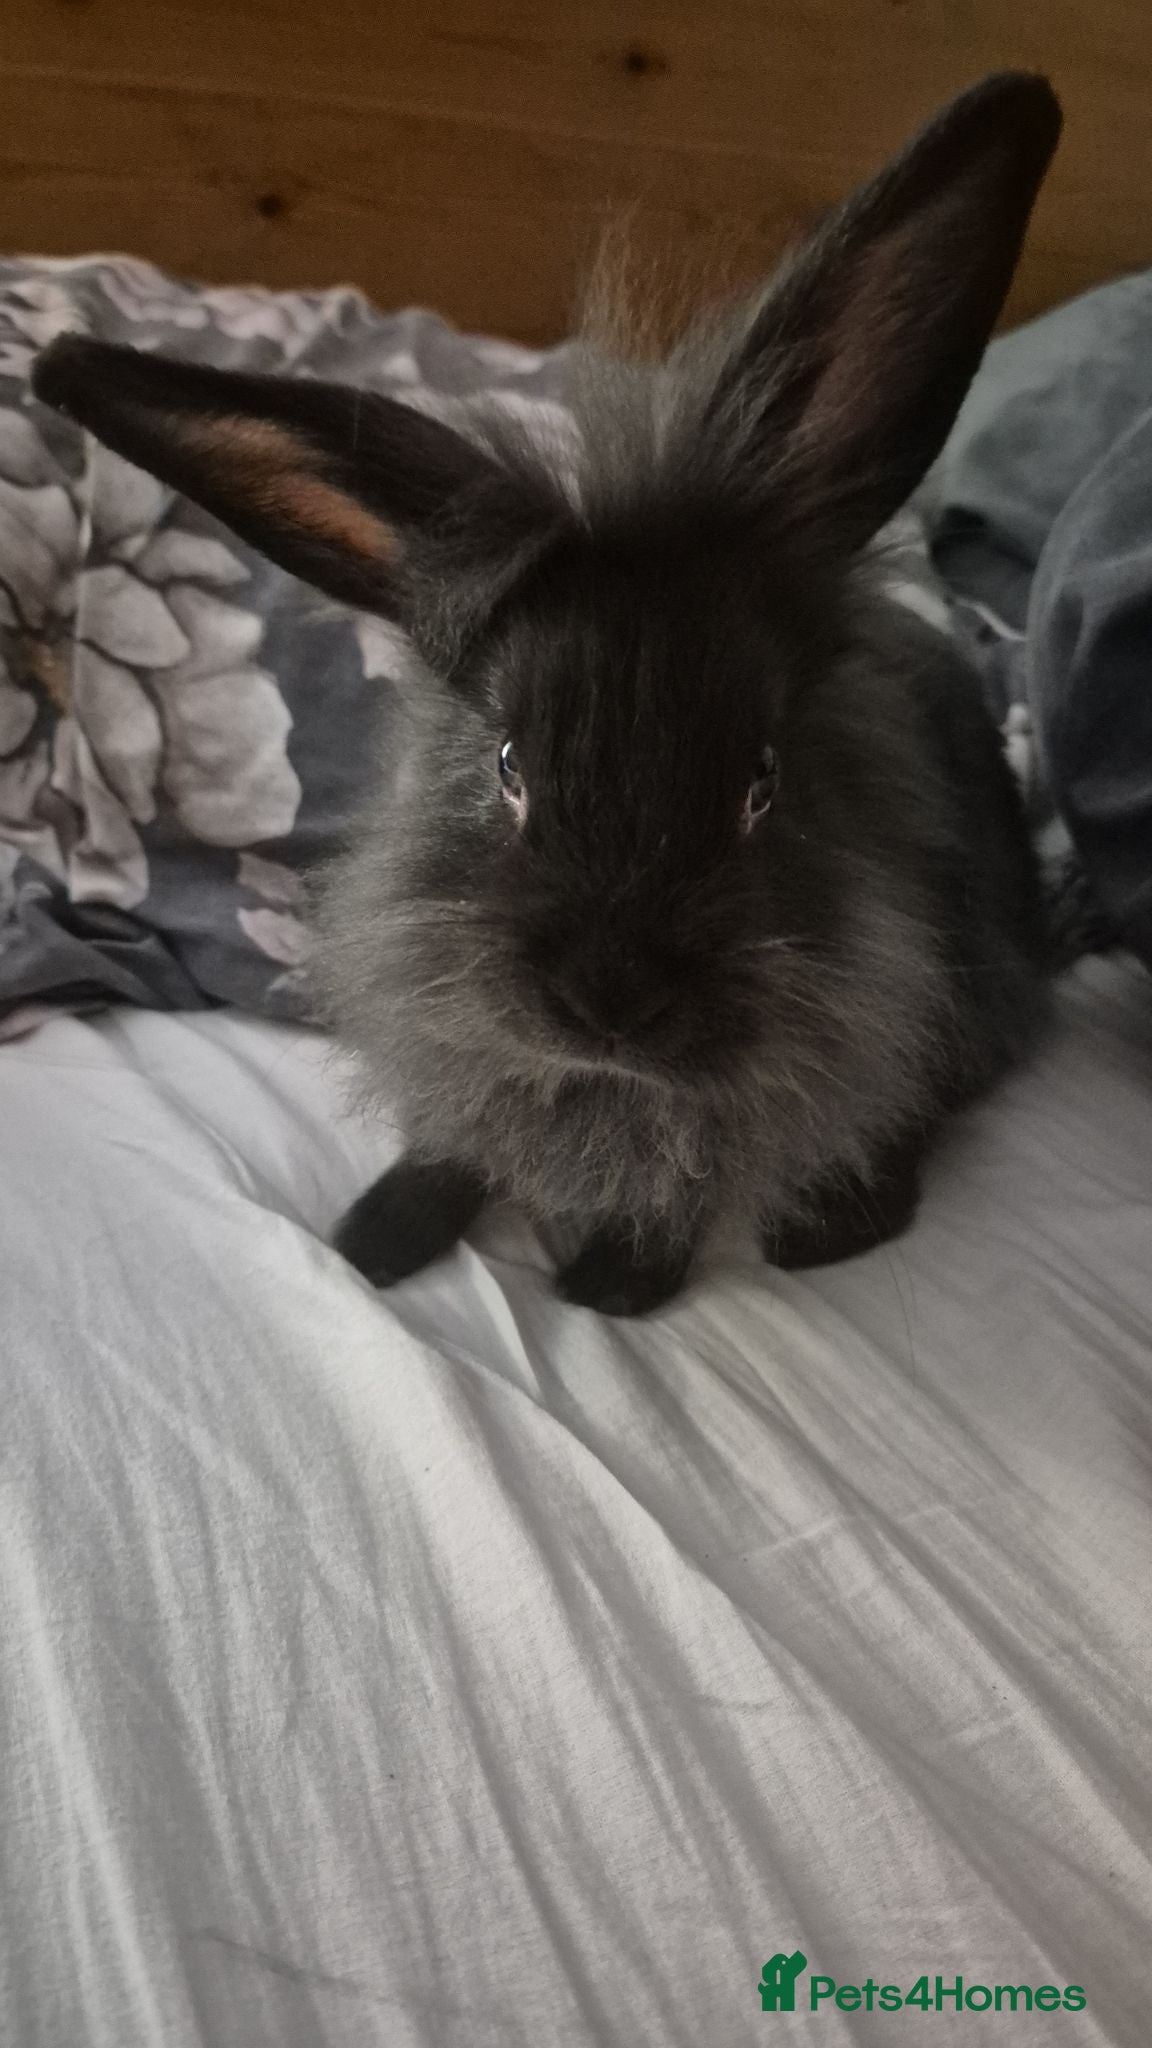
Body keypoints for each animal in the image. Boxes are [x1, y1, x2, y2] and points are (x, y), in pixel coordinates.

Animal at [34, 72, 1061, 1316]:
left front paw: (611, 1285)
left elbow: (690, 1165)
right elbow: (456, 1141)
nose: (609, 1000)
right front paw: (370, 1239)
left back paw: (826, 1228)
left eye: (761, 783)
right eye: (510, 766)